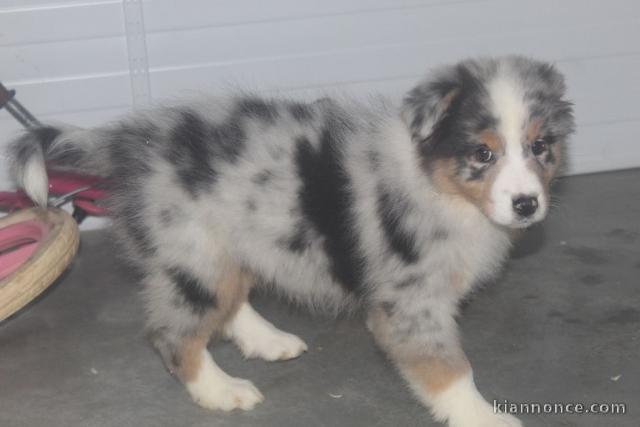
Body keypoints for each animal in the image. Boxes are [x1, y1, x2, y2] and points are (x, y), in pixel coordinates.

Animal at [7, 56, 576, 427]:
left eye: (540, 147)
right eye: (482, 154)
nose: (527, 204)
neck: (440, 185)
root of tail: (126, 142)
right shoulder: (411, 302)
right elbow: (451, 368)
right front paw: (484, 416)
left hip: (230, 242)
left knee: (230, 302)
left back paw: (267, 340)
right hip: (194, 253)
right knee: (174, 334)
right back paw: (221, 391)